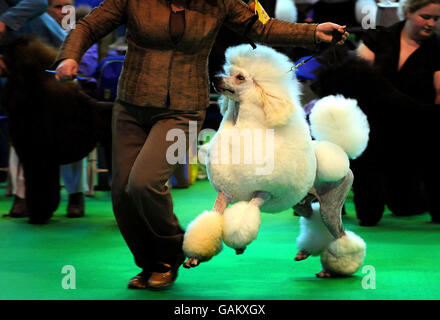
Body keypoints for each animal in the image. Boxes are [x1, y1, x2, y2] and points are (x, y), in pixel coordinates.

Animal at [312, 48, 440, 225]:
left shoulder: (368, 165)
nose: (312, 85)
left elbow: (369, 191)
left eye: (327, 78)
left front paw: (367, 218)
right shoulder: (397, 168)